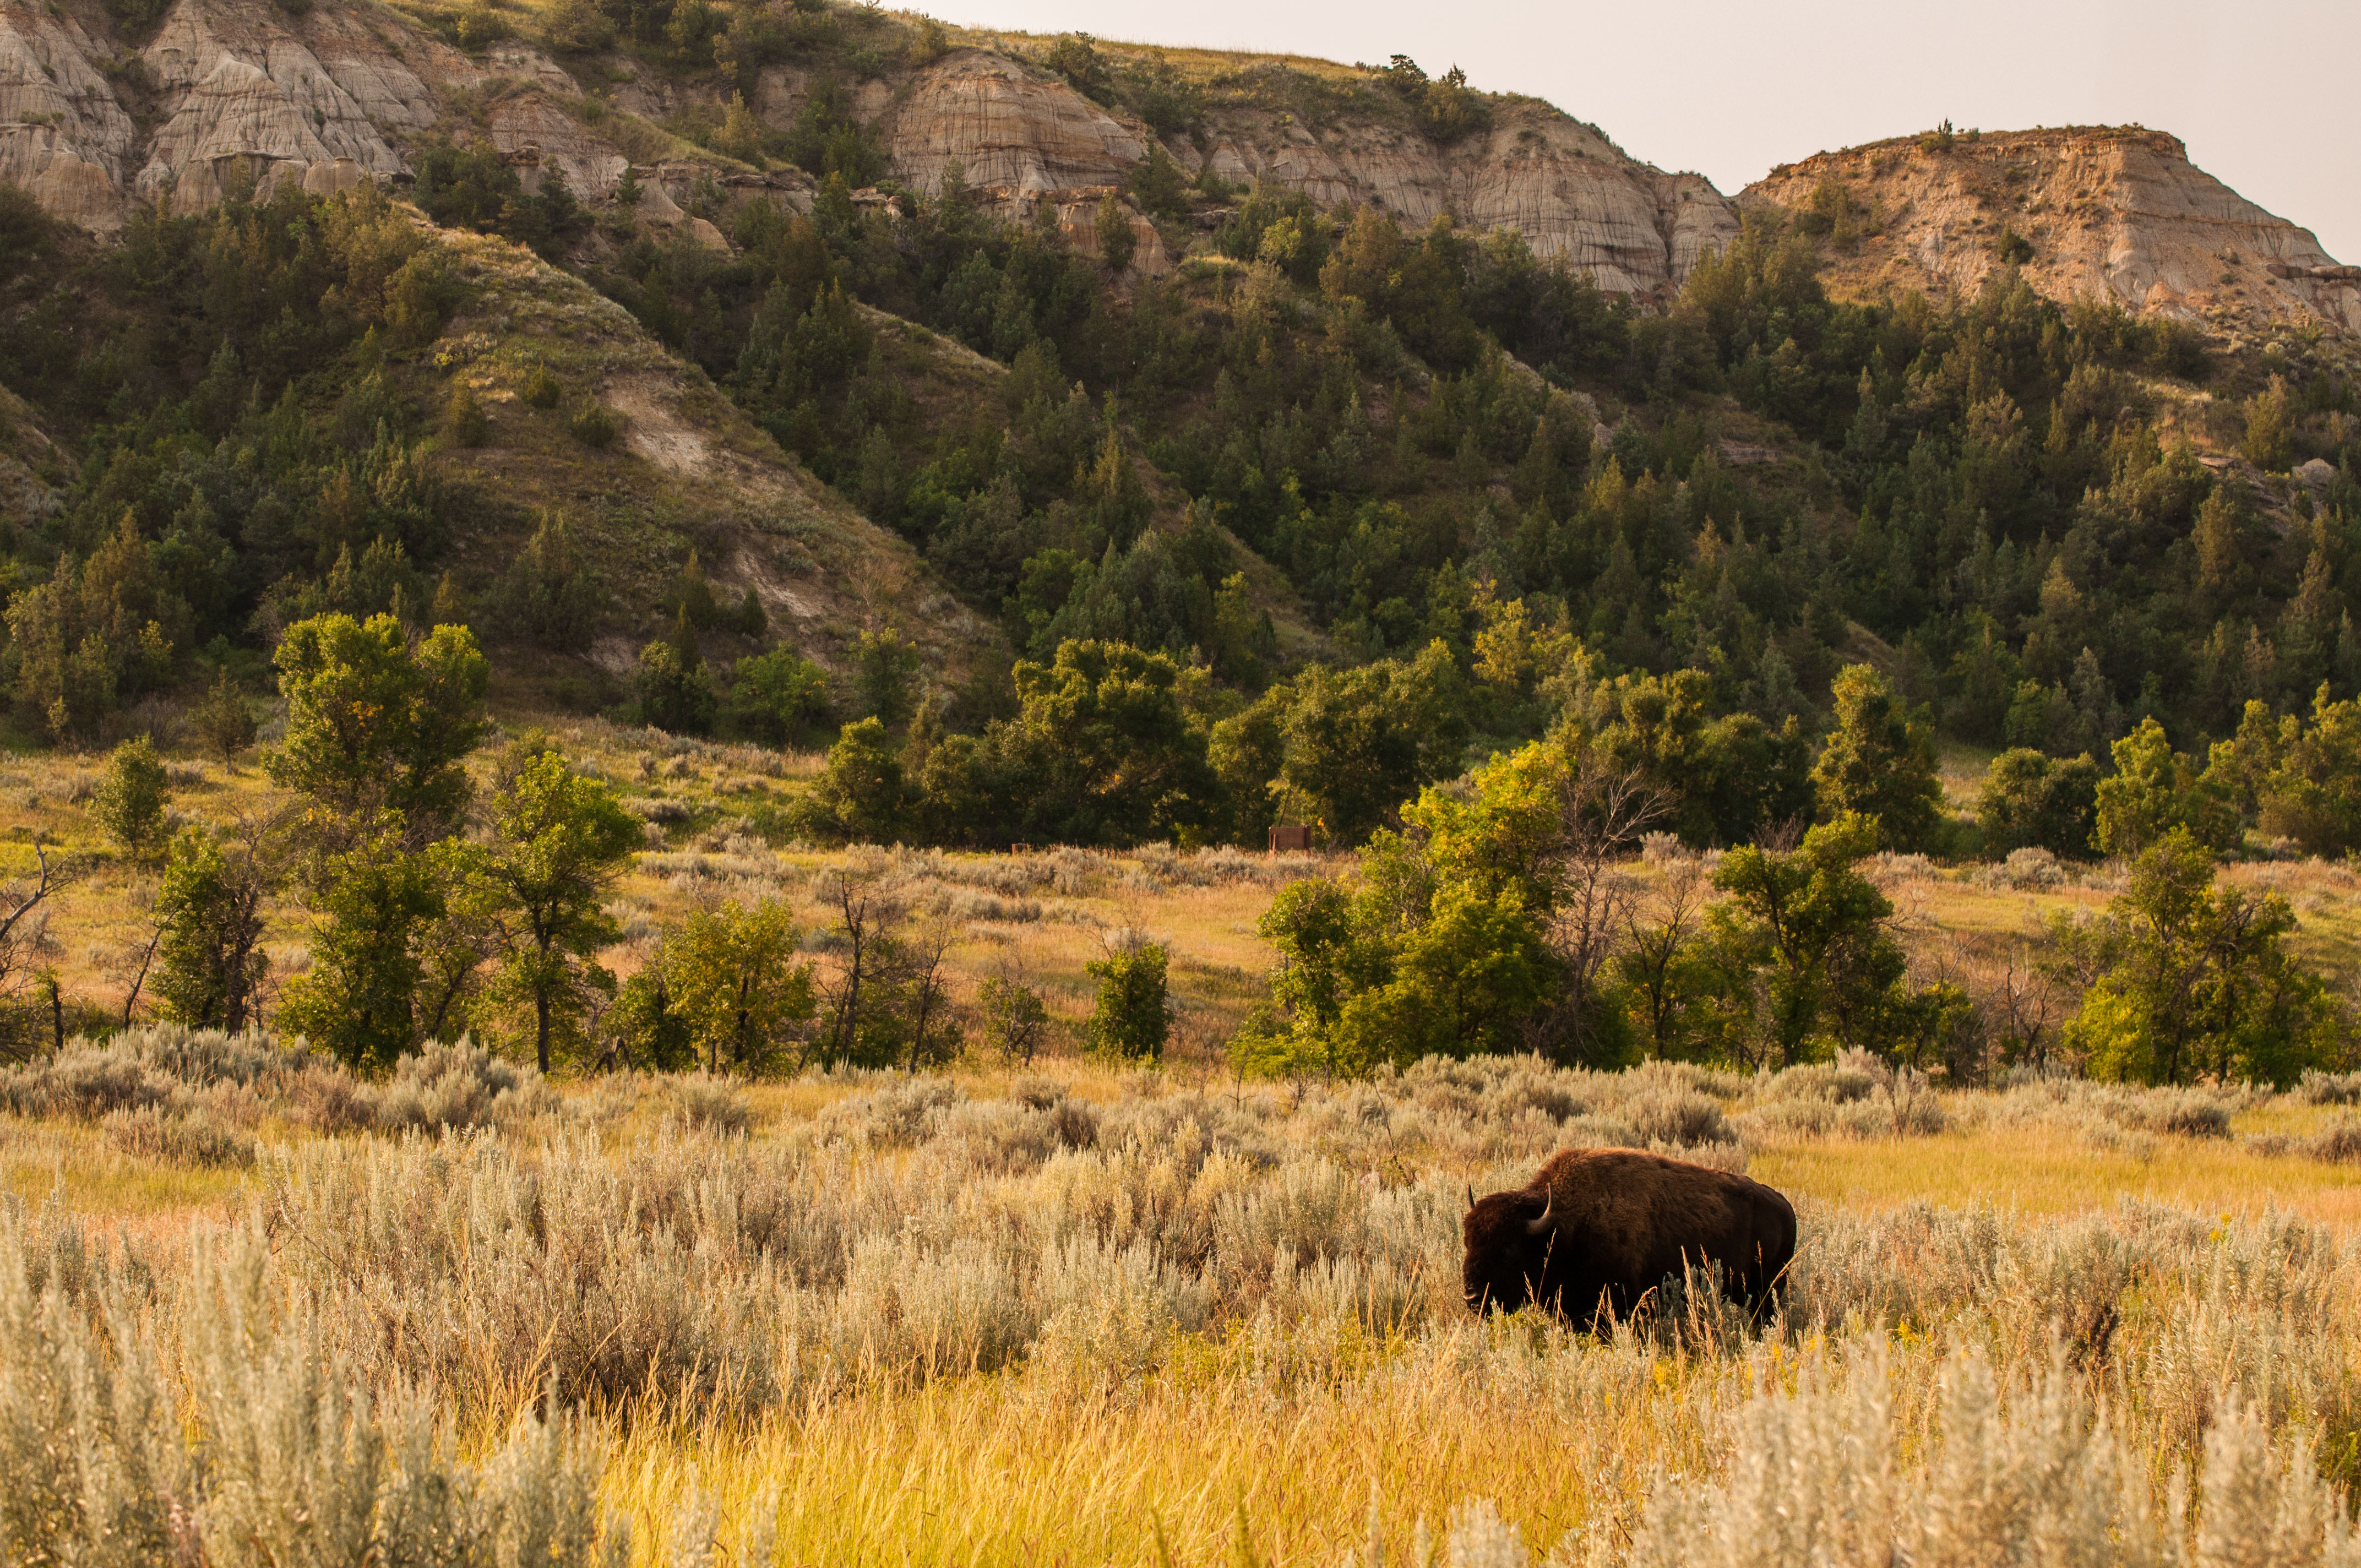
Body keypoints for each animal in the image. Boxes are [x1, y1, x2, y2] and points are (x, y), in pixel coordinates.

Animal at [1462, 1147, 1796, 1325]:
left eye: (1509, 1248)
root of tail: (1785, 1207)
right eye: (1468, 1243)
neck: (1561, 1228)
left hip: (1768, 1292)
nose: (1472, 1298)